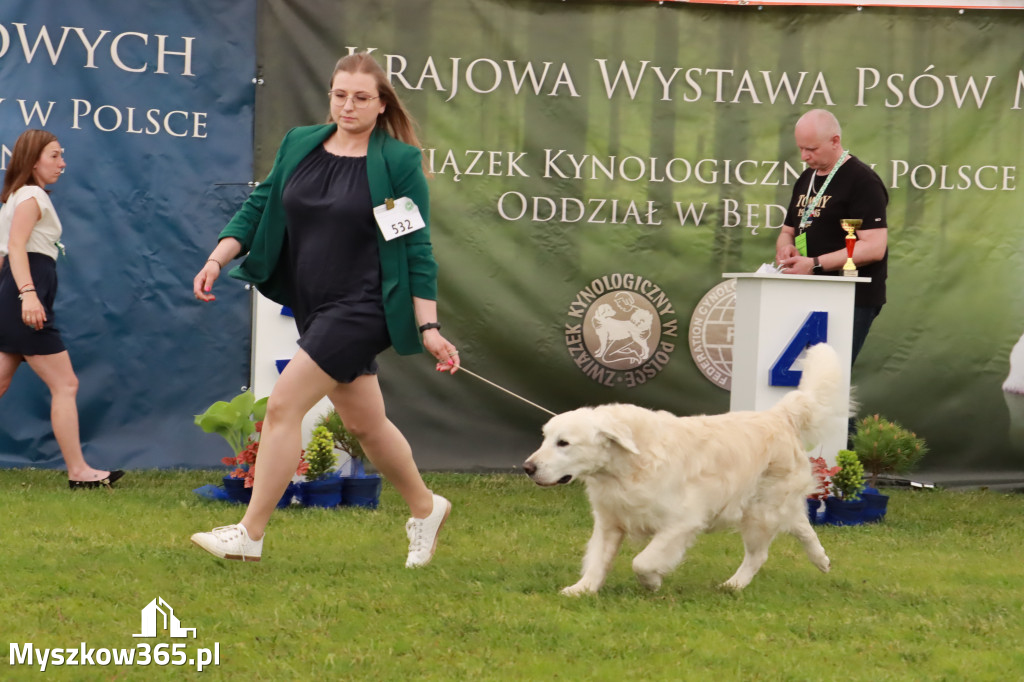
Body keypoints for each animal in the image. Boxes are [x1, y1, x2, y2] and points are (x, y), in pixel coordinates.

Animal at [524, 342, 843, 593]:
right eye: (545, 437)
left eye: (563, 443)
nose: (528, 467)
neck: (625, 467)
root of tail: (778, 415)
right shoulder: (609, 521)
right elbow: (598, 560)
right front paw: (582, 589)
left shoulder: (682, 522)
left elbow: (641, 561)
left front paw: (652, 582)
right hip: (770, 507)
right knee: (801, 525)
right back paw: (822, 561)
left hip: (761, 511)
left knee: (760, 553)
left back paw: (734, 585)